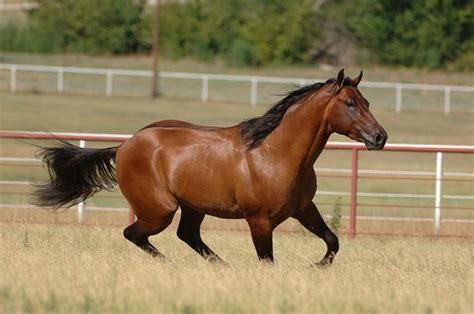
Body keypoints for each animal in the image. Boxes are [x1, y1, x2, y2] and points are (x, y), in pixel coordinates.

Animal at [35, 70, 386, 266]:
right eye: (350, 104)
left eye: (367, 102)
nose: (380, 137)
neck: (275, 153)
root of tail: (123, 146)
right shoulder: (259, 221)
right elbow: (267, 261)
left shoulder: (303, 209)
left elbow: (332, 241)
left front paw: (315, 267)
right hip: (159, 210)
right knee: (135, 234)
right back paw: (173, 265)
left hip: (192, 207)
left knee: (187, 235)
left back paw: (220, 265)